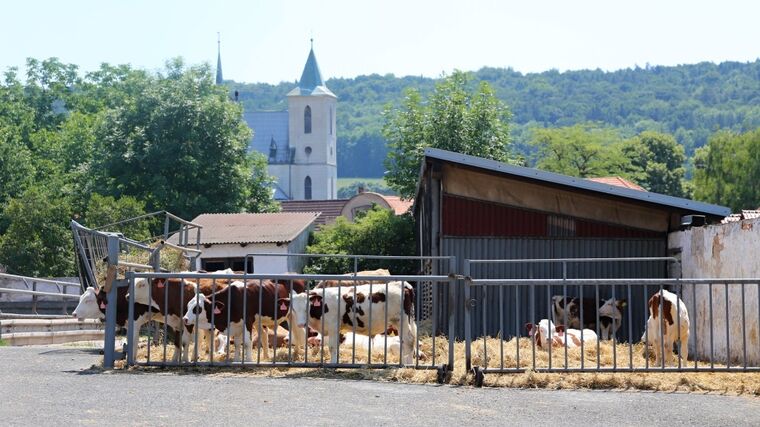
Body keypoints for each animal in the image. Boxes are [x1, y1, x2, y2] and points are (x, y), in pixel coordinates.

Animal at [280, 280, 418, 364]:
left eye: (307, 307)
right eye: (293, 308)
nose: (301, 324)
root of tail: (402, 284)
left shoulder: (333, 326)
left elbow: (332, 347)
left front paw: (333, 364)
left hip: (401, 320)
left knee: (409, 341)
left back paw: (408, 365)